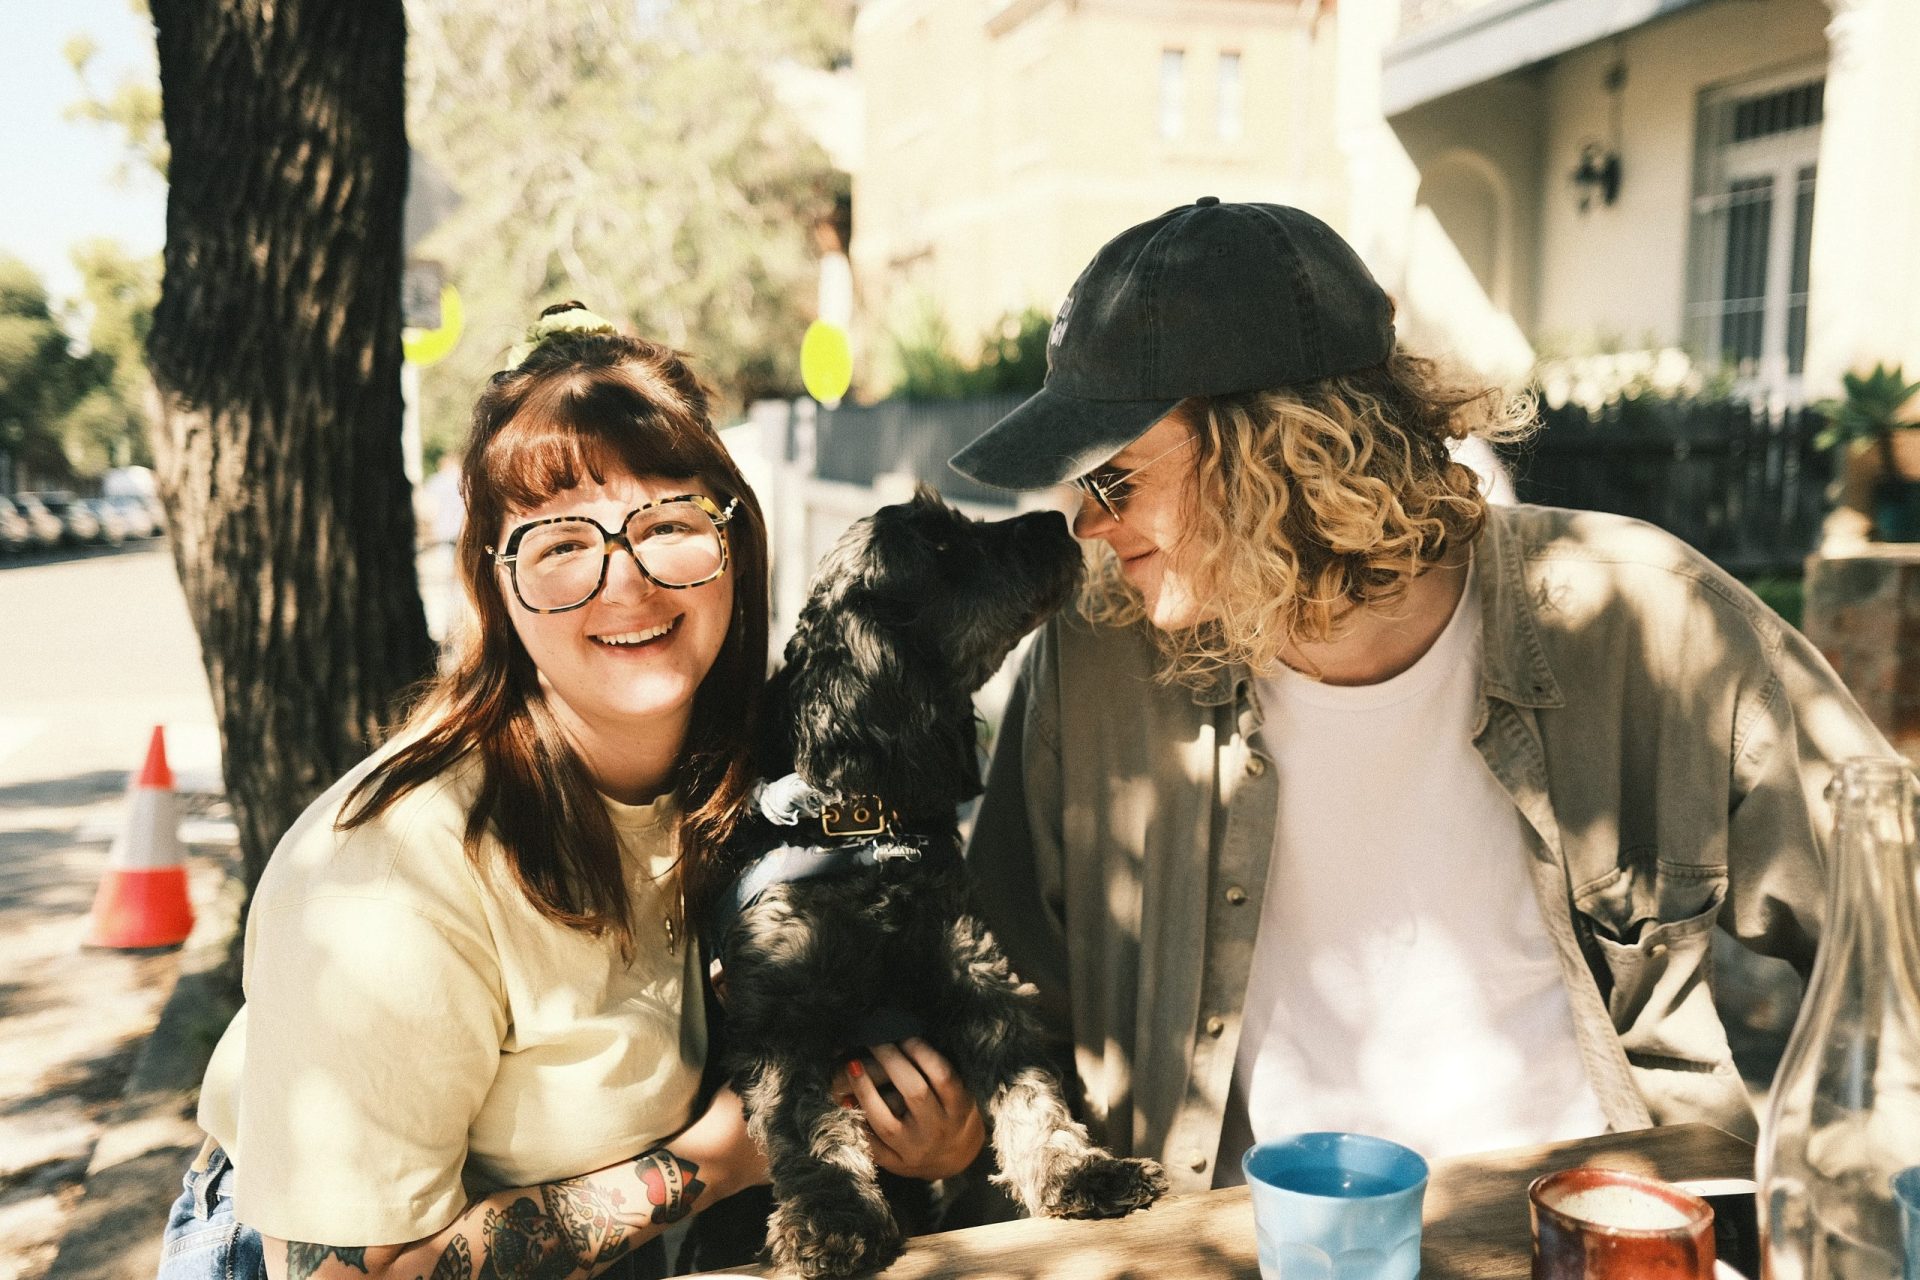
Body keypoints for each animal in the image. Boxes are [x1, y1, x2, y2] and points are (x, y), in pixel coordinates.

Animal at [714, 485, 1167, 1274]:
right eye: (944, 548)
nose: (1056, 520)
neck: (864, 830)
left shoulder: (978, 980)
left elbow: (1032, 1095)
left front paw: (1079, 1172)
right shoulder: (780, 1020)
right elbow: (807, 1129)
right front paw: (833, 1217)